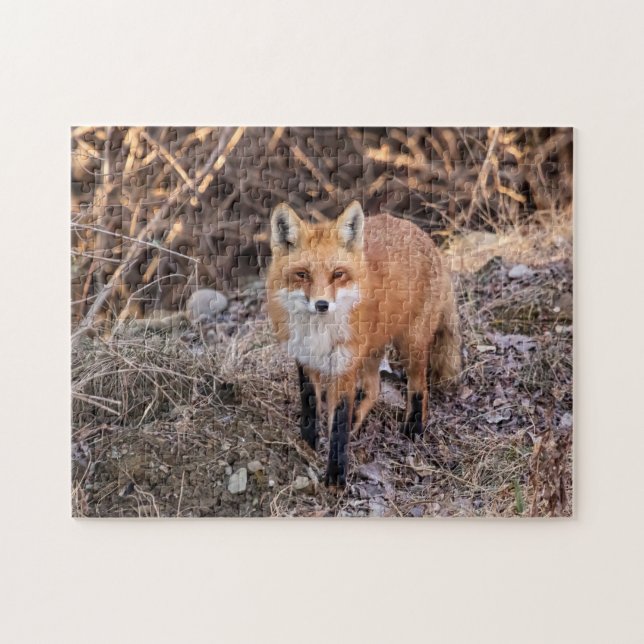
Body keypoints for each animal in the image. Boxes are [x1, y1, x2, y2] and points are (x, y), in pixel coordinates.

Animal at [266, 200, 462, 487]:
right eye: (302, 274)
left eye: (338, 274)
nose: (322, 305)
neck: (319, 333)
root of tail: (423, 236)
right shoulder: (304, 359)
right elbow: (310, 407)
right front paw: (309, 444)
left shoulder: (344, 367)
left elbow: (338, 425)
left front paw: (336, 477)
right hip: (370, 351)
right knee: (375, 387)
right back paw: (358, 420)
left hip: (409, 345)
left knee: (419, 386)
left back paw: (414, 429)